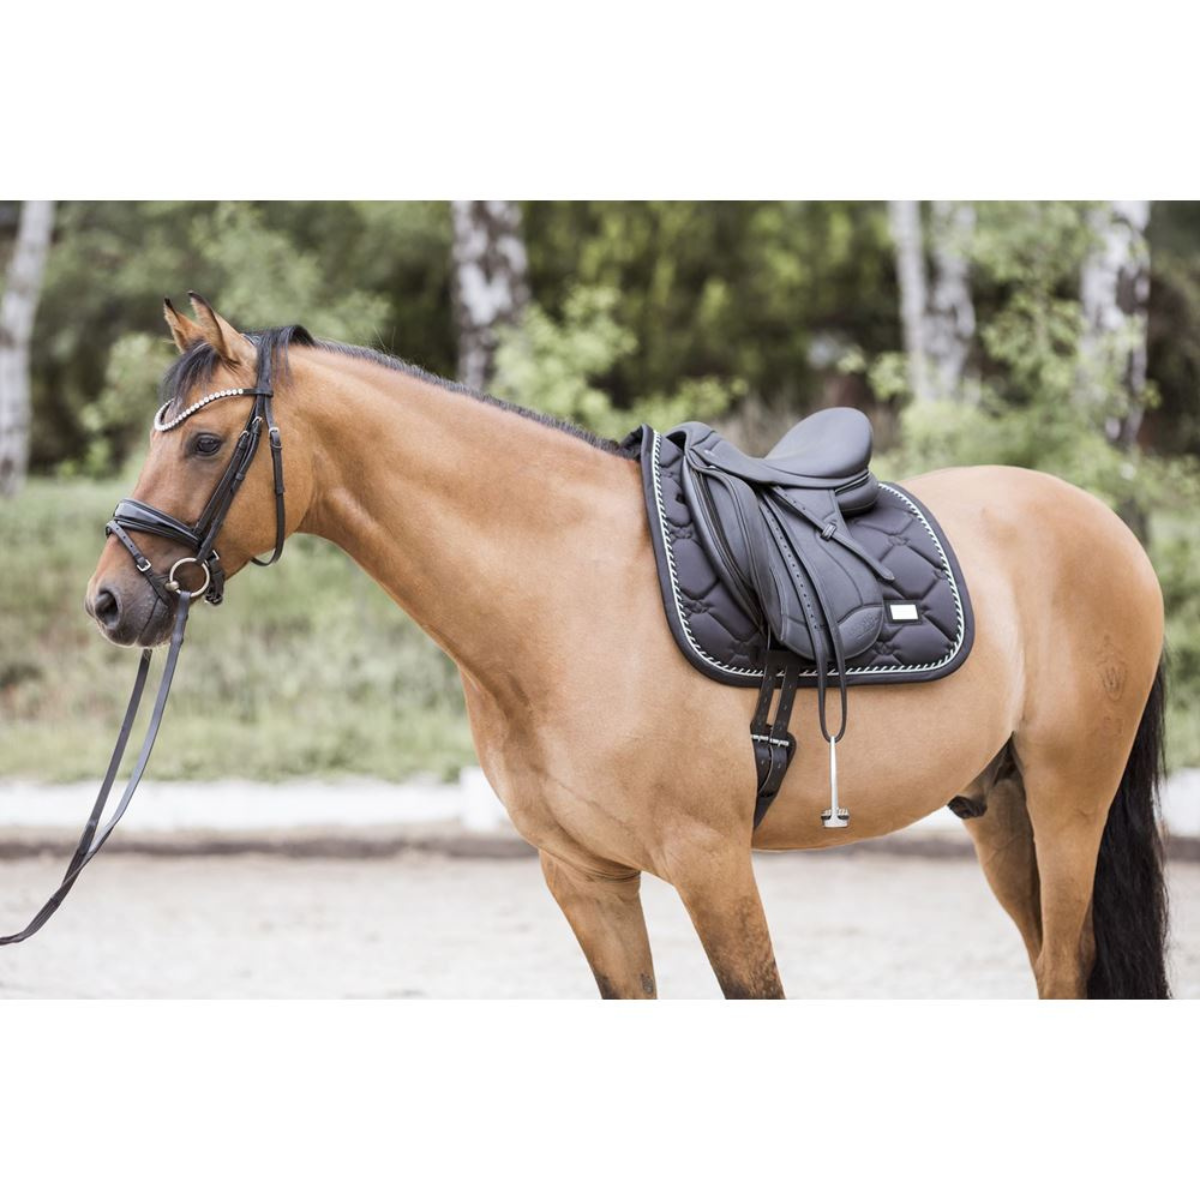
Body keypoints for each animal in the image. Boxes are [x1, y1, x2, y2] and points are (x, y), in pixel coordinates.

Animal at [84, 295, 1170, 999]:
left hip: (1071, 801)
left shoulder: (711, 863)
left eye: (205, 444)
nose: (110, 599)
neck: (565, 595)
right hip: (1001, 811)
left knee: (1066, 968)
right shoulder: (585, 877)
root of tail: (1103, 523)